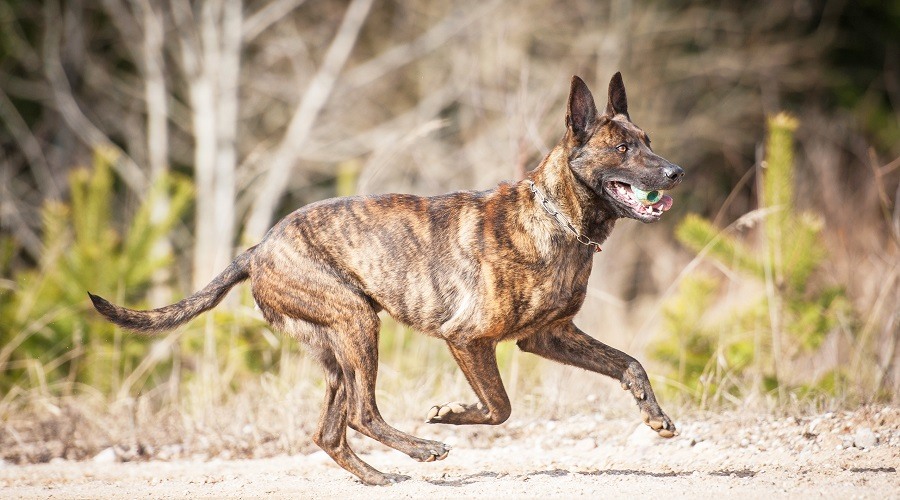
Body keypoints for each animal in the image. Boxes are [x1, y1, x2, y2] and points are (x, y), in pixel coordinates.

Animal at [89, 73, 684, 484]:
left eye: (649, 139)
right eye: (622, 148)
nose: (676, 172)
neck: (558, 220)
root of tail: (257, 249)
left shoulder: (548, 336)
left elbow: (628, 363)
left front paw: (655, 417)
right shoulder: (468, 339)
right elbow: (500, 407)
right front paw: (451, 414)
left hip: (335, 351)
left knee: (331, 430)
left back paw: (378, 477)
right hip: (358, 323)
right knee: (362, 412)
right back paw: (420, 450)